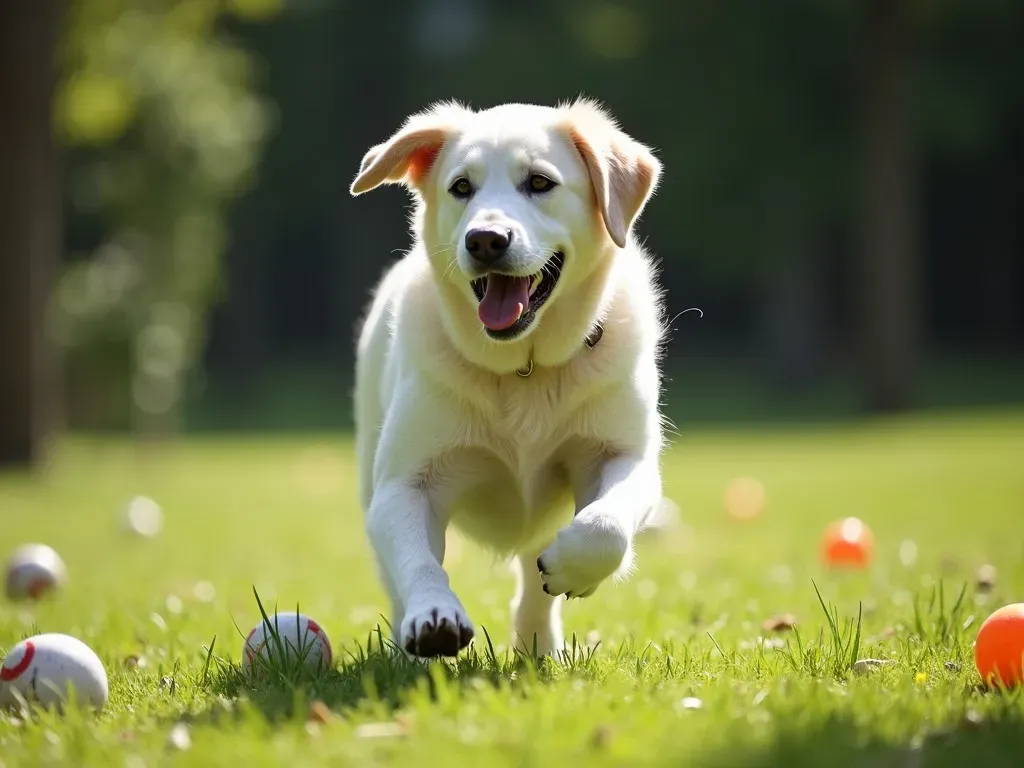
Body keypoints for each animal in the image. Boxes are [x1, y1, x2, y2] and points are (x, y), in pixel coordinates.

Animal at [352, 99, 667, 659]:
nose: (485, 239)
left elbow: (605, 527)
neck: (524, 369)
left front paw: (572, 568)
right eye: (461, 187)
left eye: (540, 182)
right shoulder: (403, 486)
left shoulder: (626, 457)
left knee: (535, 585)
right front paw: (434, 617)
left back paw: (540, 649)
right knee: (395, 578)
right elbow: (420, 562)